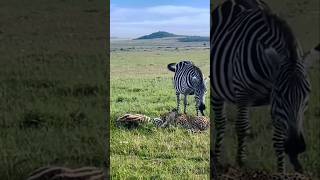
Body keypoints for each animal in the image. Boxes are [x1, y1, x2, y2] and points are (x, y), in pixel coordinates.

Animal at [211, 0, 318, 174]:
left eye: (307, 94)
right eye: (280, 93)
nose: (295, 146)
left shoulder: (275, 105)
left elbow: (278, 139)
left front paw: (281, 171)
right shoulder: (244, 95)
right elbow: (242, 127)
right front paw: (240, 163)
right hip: (217, 90)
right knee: (220, 123)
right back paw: (217, 162)